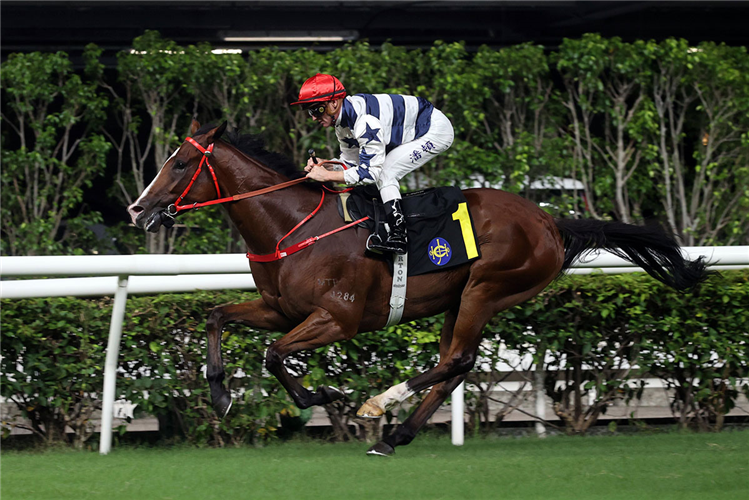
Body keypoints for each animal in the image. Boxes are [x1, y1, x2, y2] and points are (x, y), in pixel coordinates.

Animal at [127, 121, 708, 458]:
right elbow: (217, 315)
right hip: (460, 298)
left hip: (487, 288)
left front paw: (324, 395)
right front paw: (221, 393)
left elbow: (273, 354)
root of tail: (550, 222)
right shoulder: (280, 308)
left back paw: (380, 406)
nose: (137, 208)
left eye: (180, 163)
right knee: (457, 364)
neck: (292, 227)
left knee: (456, 360)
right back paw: (396, 435)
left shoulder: (337, 318)